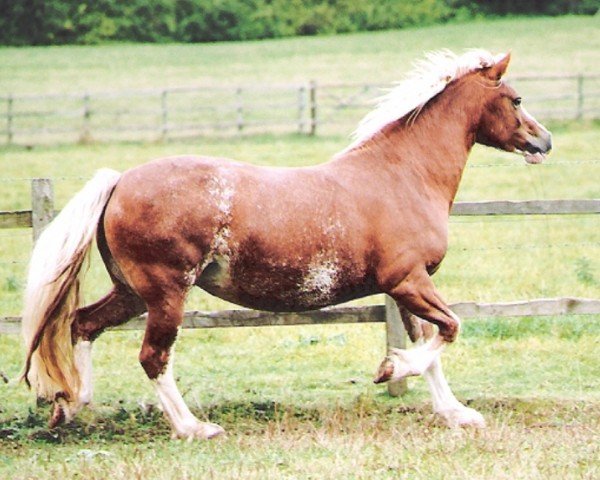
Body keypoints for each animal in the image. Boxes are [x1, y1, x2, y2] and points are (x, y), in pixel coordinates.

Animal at [21, 49, 552, 438]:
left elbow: (433, 348)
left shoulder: (407, 287)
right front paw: (389, 369)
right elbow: (449, 331)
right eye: (516, 99)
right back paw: (194, 428)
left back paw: (72, 406)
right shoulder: (408, 281)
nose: (545, 142)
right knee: (153, 357)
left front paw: (456, 413)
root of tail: (118, 181)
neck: (402, 174)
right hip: (166, 294)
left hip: (132, 292)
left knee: (83, 324)